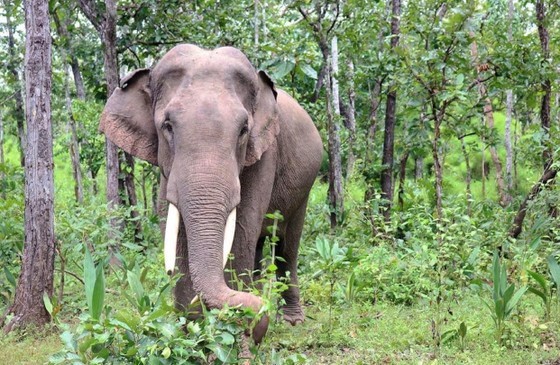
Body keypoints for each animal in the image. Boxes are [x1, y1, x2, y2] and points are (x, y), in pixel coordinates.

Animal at [98, 44, 322, 342]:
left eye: (243, 129)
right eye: (167, 126)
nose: (258, 318)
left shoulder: (265, 152)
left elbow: (242, 227)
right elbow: (172, 227)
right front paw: (192, 331)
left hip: (305, 187)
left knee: (288, 245)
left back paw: (291, 320)